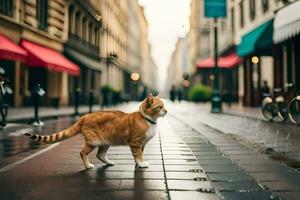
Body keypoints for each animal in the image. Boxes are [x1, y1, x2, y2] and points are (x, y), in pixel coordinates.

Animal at [24, 94, 168, 169]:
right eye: (160, 107)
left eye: (164, 106)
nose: (166, 111)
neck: (148, 120)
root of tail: (85, 116)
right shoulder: (135, 142)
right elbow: (138, 155)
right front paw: (141, 164)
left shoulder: (142, 144)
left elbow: (139, 155)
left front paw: (139, 164)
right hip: (93, 141)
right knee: (82, 152)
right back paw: (88, 166)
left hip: (105, 142)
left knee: (100, 155)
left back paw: (109, 162)